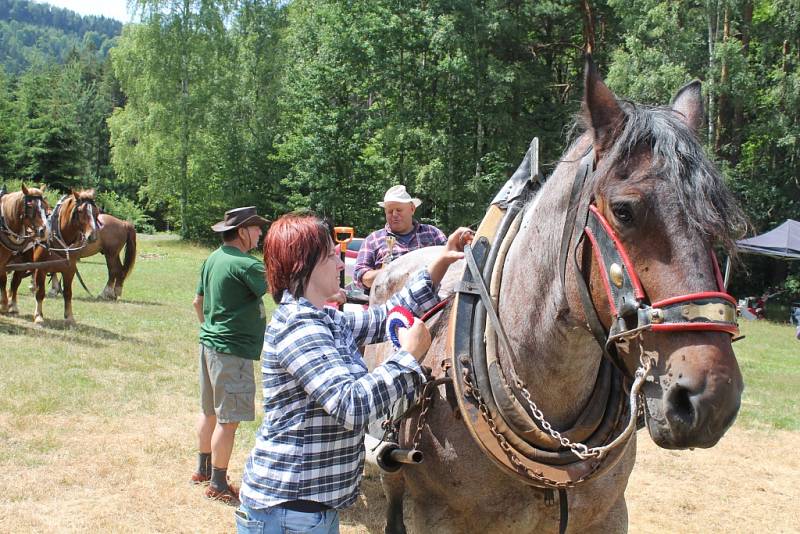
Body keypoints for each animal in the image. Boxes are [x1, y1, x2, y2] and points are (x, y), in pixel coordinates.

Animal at [0, 186, 49, 316]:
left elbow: (4, 279)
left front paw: (4, 305)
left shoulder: (3, 260)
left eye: (45, 206)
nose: (44, 231)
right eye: (30, 205)